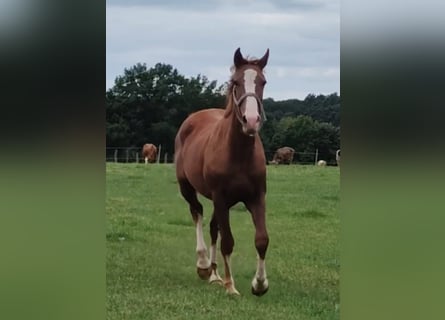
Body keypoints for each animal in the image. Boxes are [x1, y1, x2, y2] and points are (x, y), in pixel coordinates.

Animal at [175, 48, 268, 296]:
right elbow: (228, 241)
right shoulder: (220, 196)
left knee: (213, 227)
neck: (239, 154)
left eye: (263, 82)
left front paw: (260, 284)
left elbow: (261, 239)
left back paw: (214, 274)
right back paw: (204, 265)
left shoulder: (256, 197)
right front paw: (230, 285)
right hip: (188, 188)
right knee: (197, 212)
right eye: (236, 82)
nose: (251, 120)